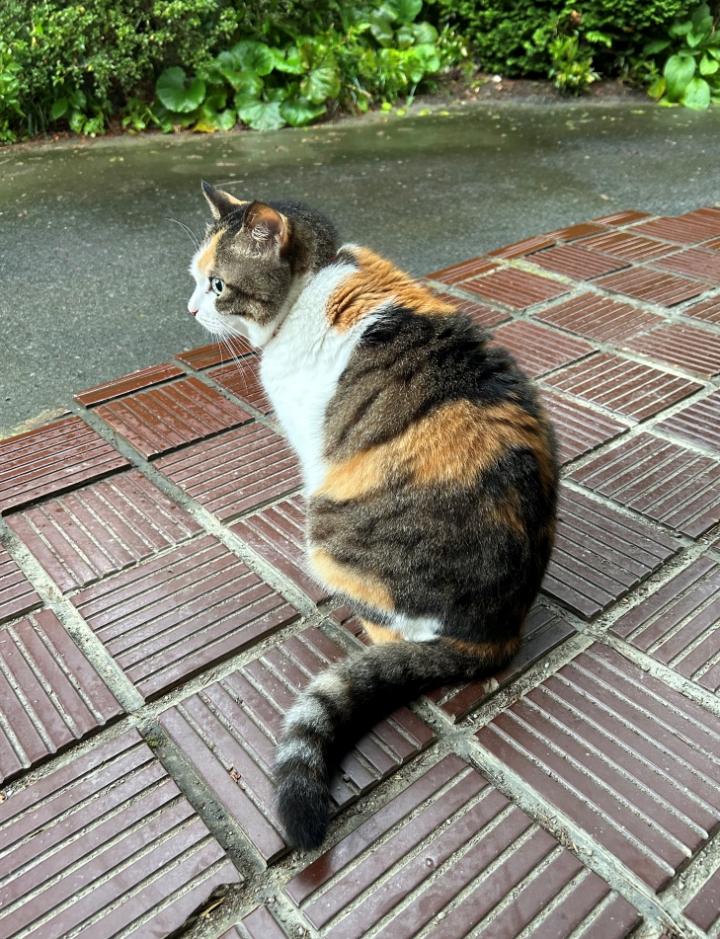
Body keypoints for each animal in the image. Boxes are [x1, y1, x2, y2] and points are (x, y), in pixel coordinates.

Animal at [188, 181, 559, 850]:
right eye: (195, 281)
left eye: (218, 285)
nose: (190, 310)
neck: (315, 278)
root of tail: (499, 628)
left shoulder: (313, 449)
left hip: (328, 532)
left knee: (390, 632)